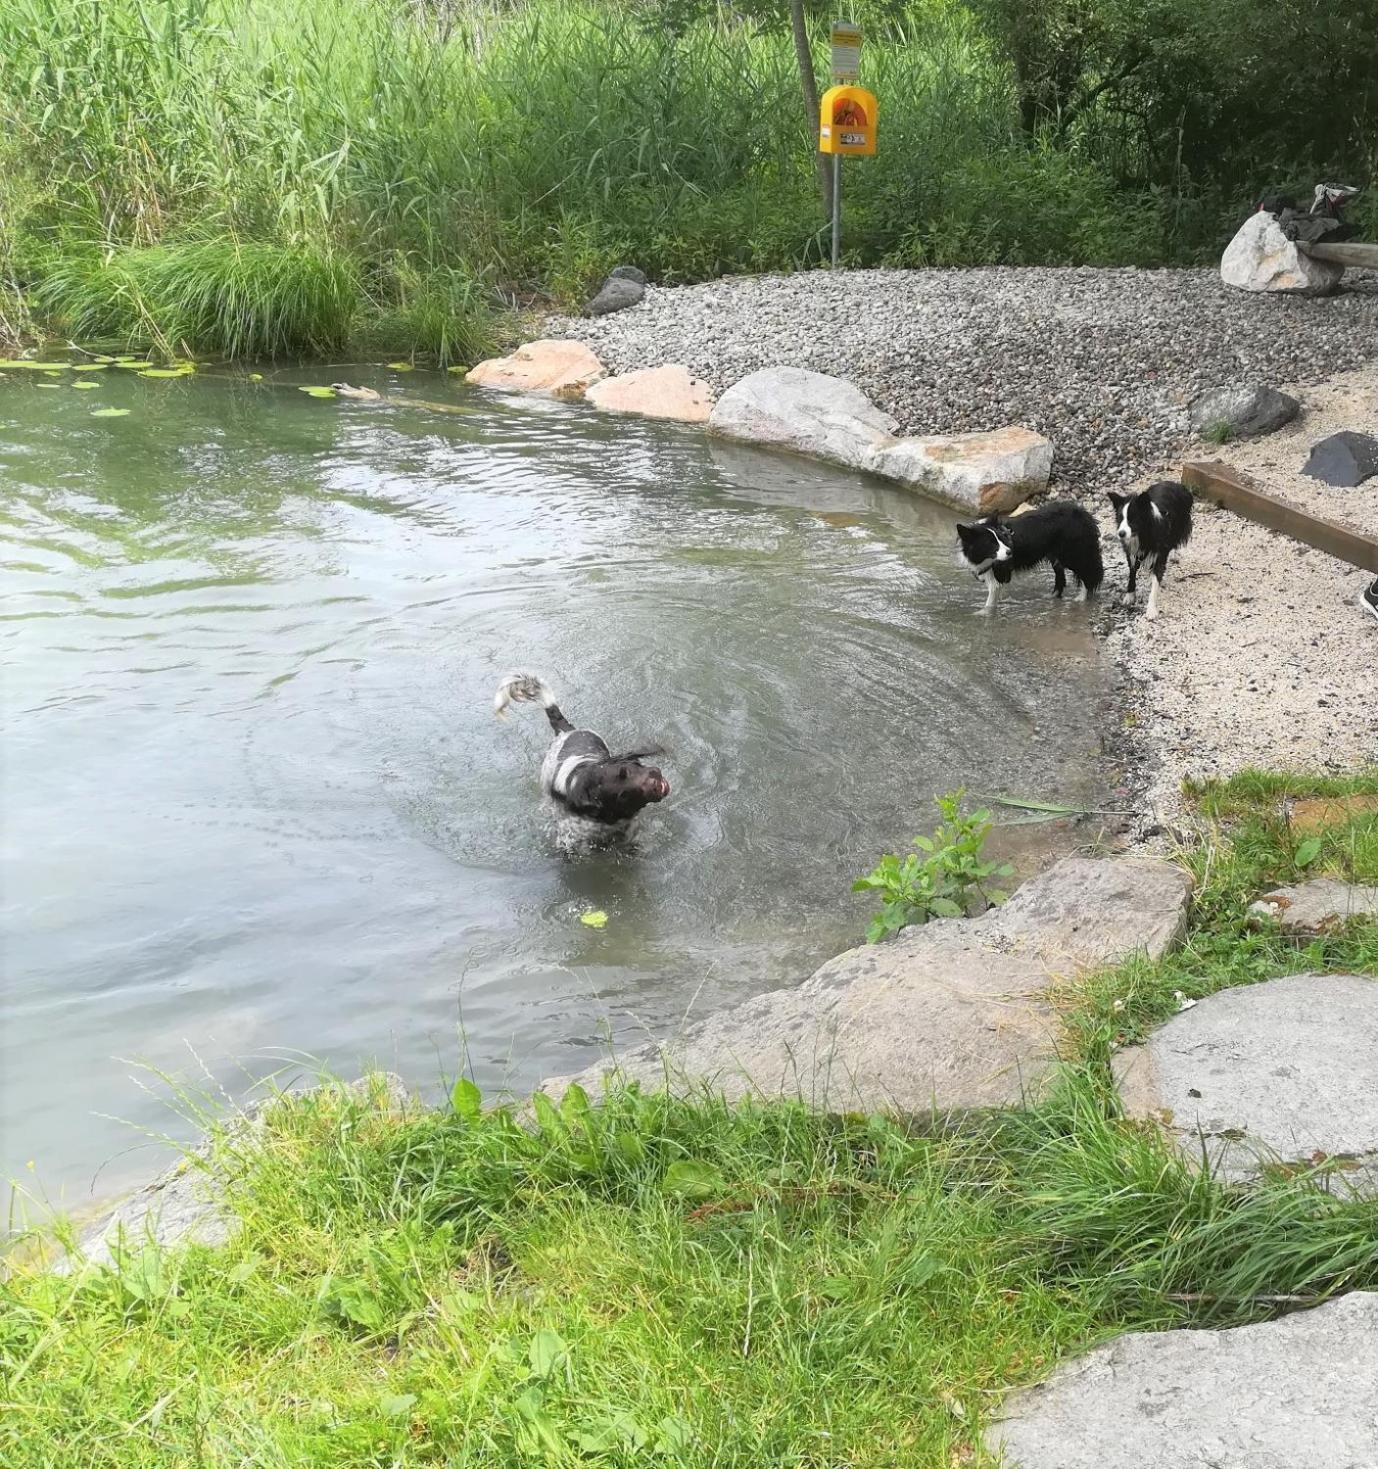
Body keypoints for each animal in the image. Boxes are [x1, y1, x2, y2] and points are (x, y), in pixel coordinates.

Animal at [951, 502, 1098, 611]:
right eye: (990, 543)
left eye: (1001, 538)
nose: (1010, 552)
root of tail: (1083, 513)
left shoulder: (998, 575)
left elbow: (990, 602)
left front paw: (982, 613)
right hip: (1055, 556)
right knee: (1061, 575)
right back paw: (1052, 596)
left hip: (1072, 553)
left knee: (1088, 573)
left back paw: (1081, 599)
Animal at [1104, 481, 1192, 619]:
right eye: (1120, 518)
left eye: (1132, 519)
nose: (1121, 533)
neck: (1142, 535)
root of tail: (1175, 484)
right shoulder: (1132, 553)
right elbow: (1132, 573)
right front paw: (1130, 595)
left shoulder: (1160, 554)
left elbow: (1156, 581)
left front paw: (1151, 609)